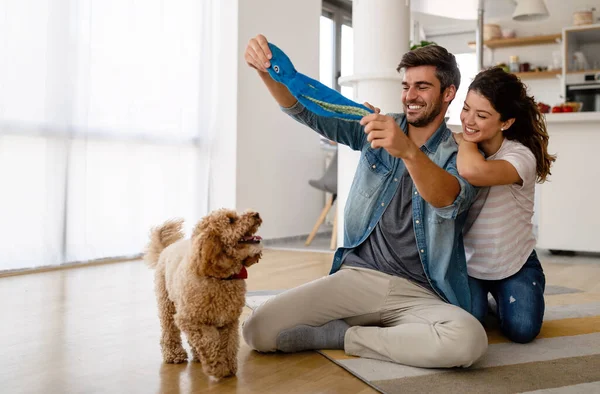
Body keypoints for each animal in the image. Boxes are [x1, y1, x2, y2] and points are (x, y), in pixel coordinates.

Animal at [145, 211, 262, 380]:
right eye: (231, 220)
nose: (256, 214)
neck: (219, 278)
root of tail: (167, 248)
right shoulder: (189, 319)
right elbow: (210, 341)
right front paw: (218, 367)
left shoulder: (228, 321)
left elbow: (228, 344)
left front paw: (227, 366)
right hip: (167, 303)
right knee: (169, 330)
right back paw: (174, 354)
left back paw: (197, 356)